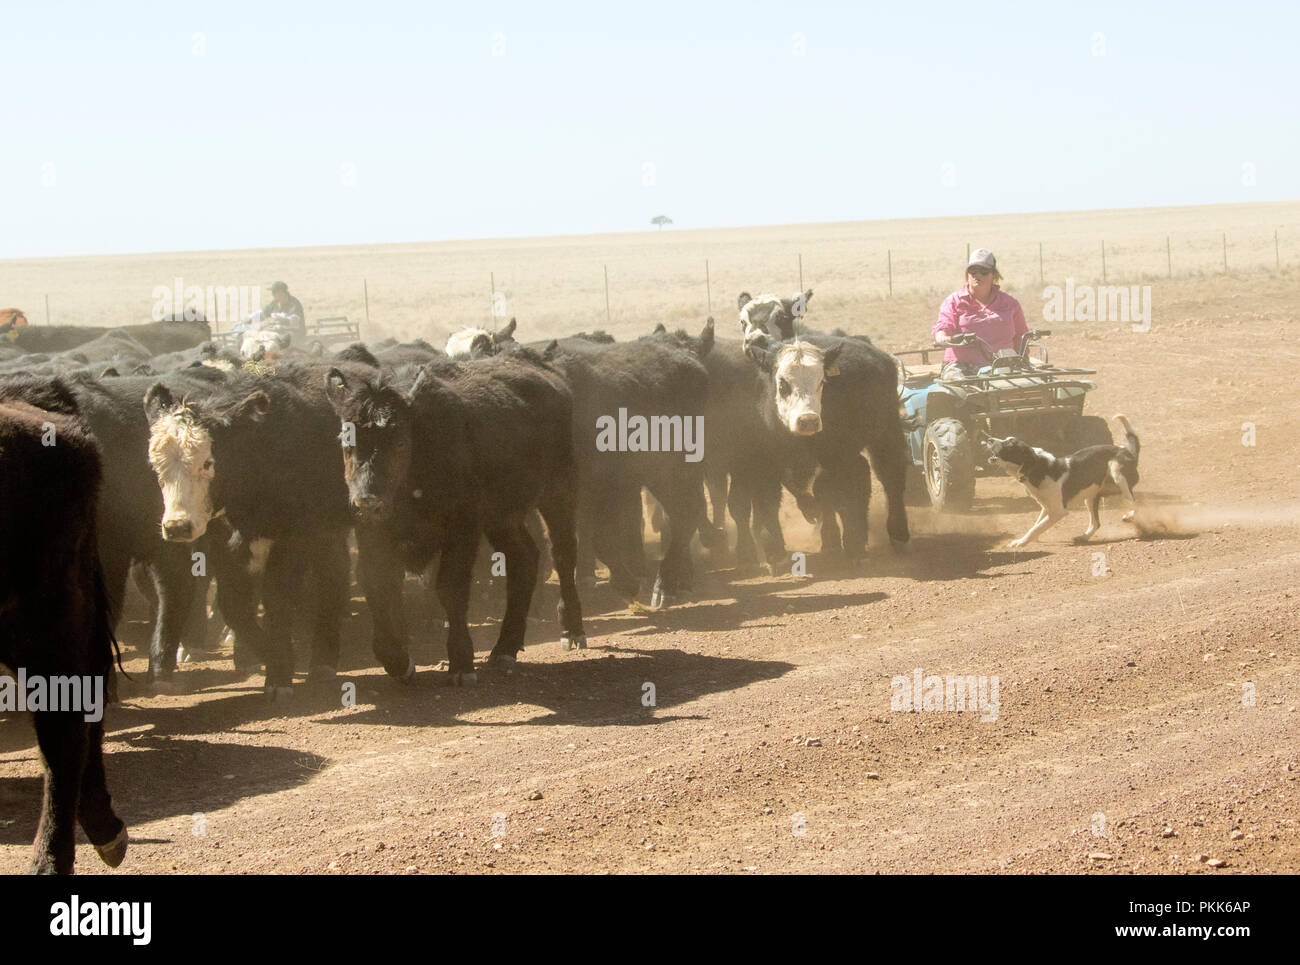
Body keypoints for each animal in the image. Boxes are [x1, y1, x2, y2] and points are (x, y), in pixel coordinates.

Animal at [982, 416, 1138, 551]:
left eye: (1010, 444)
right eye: (1006, 439)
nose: (989, 439)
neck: (1038, 468)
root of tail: (1128, 451)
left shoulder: (1058, 511)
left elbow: (1036, 528)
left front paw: (1021, 542)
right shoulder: (1046, 507)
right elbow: (1037, 524)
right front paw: (1026, 539)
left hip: (1117, 474)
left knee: (1134, 502)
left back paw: (1130, 515)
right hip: (1090, 496)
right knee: (1096, 523)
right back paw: (1083, 537)